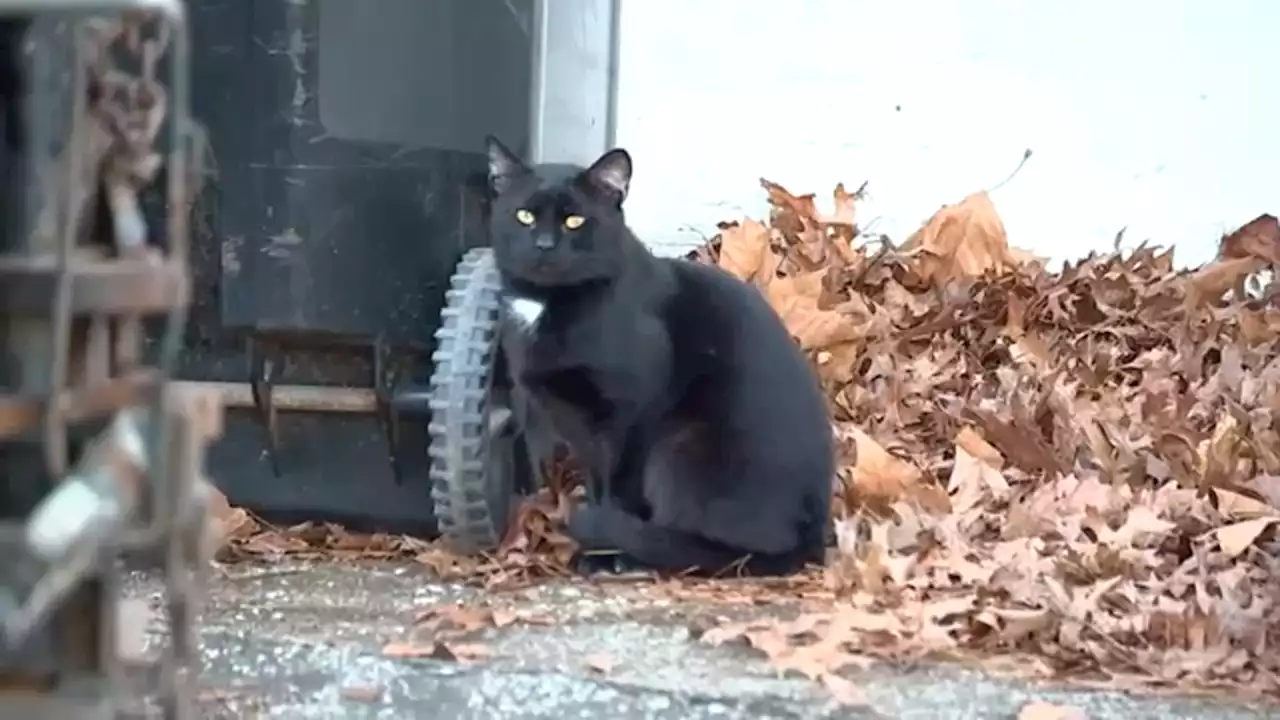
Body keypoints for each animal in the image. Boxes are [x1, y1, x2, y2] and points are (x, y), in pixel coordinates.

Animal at [483, 133, 834, 571]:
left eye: (574, 221)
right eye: (524, 216)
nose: (544, 245)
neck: (548, 303)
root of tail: (812, 538)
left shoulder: (631, 413)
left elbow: (616, 488)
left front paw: (601, 555)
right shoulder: (577, 425)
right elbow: (597, 482)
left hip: (678, 448)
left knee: (720, 548)